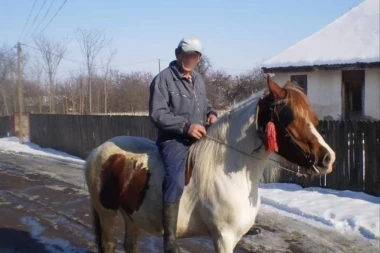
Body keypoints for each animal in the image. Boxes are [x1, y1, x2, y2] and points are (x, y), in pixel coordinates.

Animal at [85, 75, 336, 253]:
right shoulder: (224, 238)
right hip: (107, 214)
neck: (227, 174)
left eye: (312, 117)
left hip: (132, 217)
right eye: (289, 117)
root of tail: (98, 150)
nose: (328, 158)